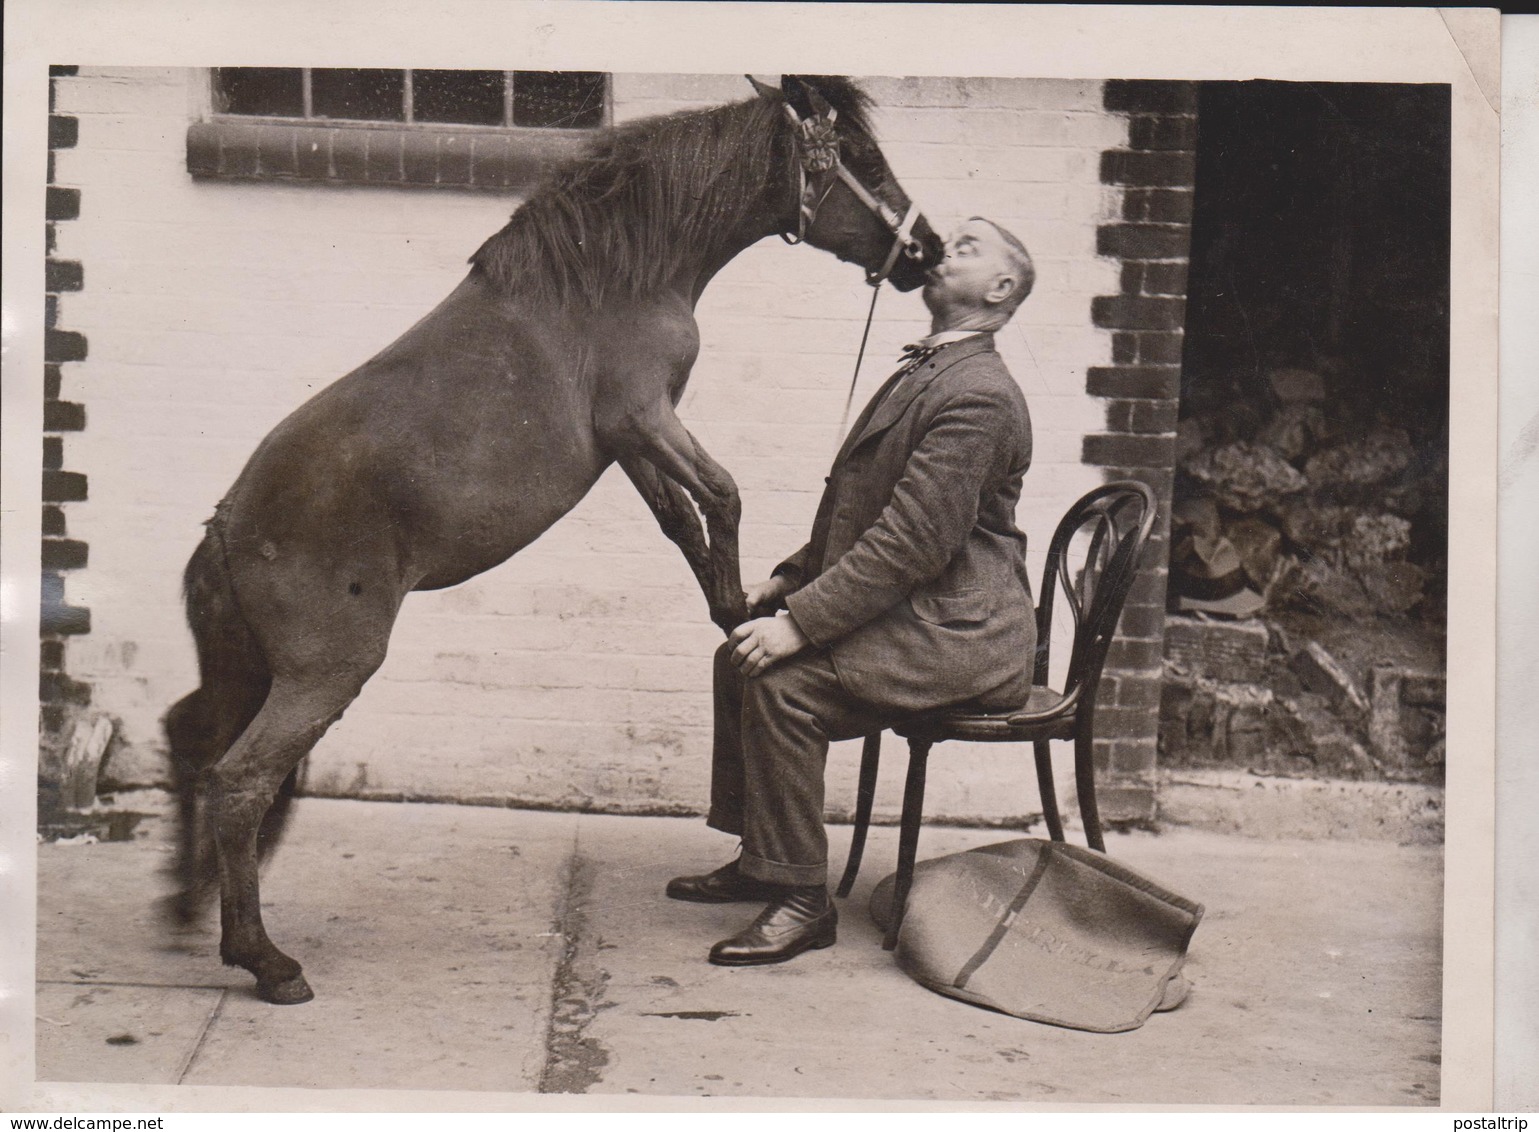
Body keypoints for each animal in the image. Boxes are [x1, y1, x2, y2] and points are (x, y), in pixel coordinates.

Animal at [165, 75, 935, 1002]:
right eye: (860, 158)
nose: (927, 249)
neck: (609, 277)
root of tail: (228, 524)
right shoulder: (643, 415)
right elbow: (721, 493)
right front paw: (738, 605)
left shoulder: (627, 443)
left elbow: (680, 518)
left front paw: (730, 608)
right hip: (324, 671)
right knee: (239, 783)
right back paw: (265, 960)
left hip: (247, 670)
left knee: (191, 739)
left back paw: (183, 904)